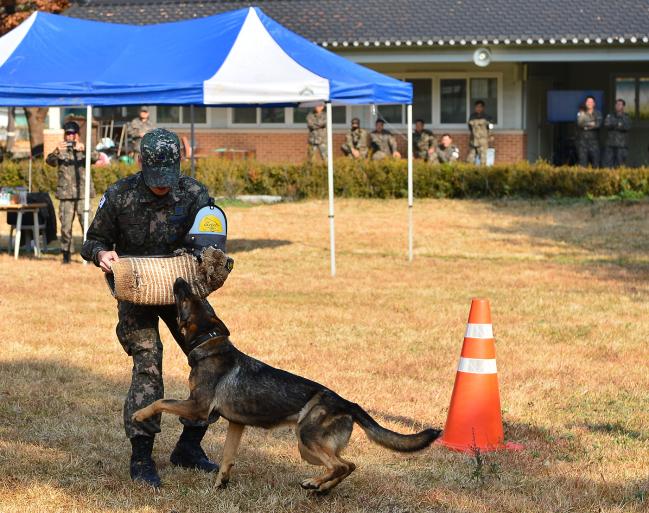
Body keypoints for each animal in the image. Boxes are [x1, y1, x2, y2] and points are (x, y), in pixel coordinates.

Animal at [134, 280, 442, 492]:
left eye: (187, 298)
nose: (179, 279)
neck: (210, 344)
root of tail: (347, 403)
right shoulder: (236, 424)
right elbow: (227, 457)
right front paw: (221, 483)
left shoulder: (197, 407)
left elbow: (161, 401)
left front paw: (140, 414)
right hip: (309, 448)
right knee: (349, 465)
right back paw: (321, 489)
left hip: (306, 438)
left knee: (341, 465)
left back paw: (315, 484)